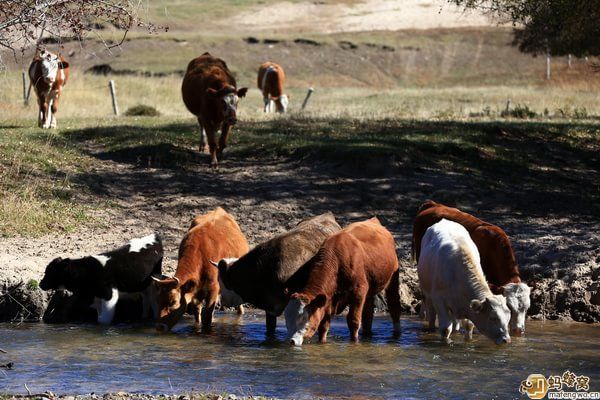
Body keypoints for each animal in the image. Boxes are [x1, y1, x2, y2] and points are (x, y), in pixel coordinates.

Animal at [284, 217, 400, 346]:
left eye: (304, 318)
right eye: (286, 318)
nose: (291, 341)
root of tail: (373, 220)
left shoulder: (359, 291)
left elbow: (353, 321)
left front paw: (354, 343)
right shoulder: (328, 299)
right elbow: (324, 326)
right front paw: (322, 343)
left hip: (393, 277)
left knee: (394, 306)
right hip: (370, 287)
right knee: (368, 314)